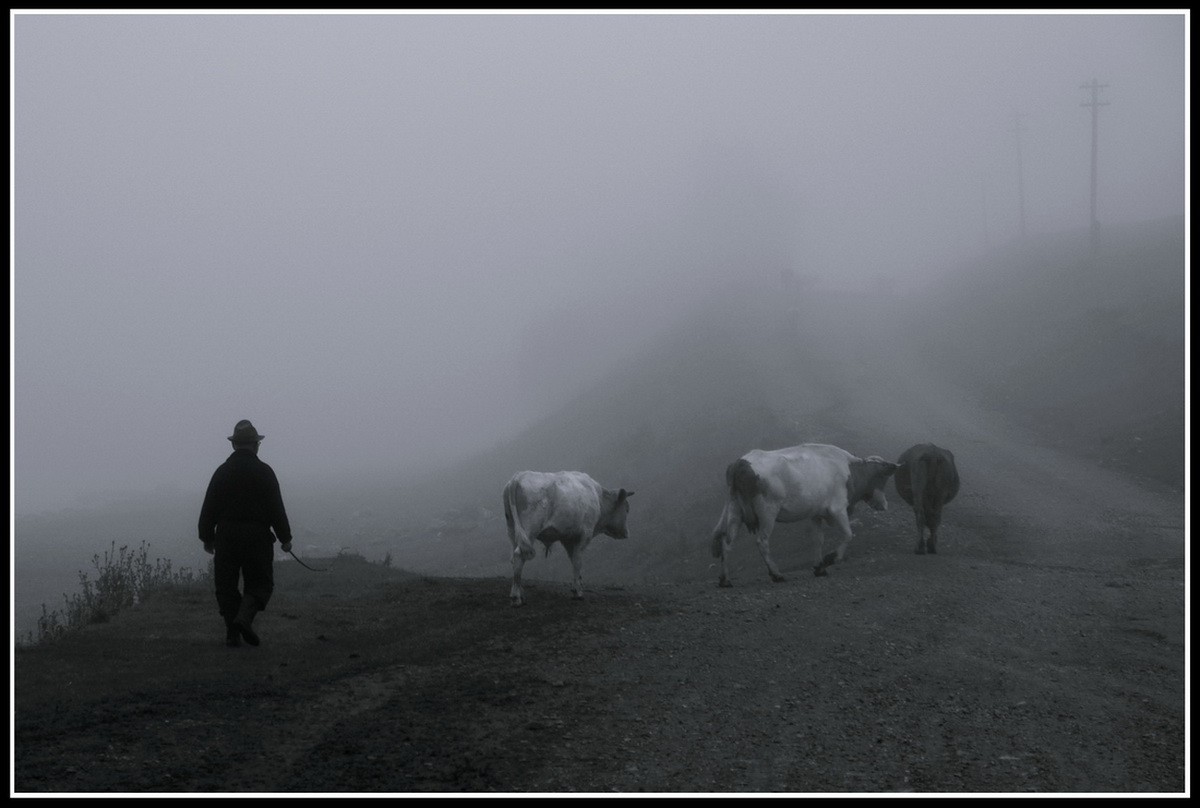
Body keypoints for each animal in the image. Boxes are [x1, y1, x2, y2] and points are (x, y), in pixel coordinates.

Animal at [499, 465, 633, 605]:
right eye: (627, 509)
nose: (626, 533)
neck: (598, 497)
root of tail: (518, 476)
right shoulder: (585, 534)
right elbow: (578, 561)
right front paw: (578, 592)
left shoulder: (568, 538)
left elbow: (573, 559)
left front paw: (577, 587)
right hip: (529, 529)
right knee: (519, 556)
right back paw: (516, 597)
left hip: (512, 530)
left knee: (515, 558)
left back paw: (520, 593)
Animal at [705, 444, 897, 583]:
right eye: (883, 478)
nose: (885, 505)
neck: (849, 469)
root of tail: (741, 463)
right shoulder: (838, 509)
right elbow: (848, 534)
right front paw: (832, 558)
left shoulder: (816, 513)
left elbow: (818, 540)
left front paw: (819, 568)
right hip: (768, 511)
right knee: (762, 541)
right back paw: (776, 574)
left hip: (735, 510)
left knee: (726, 542)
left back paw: (725, 579)